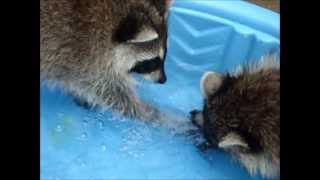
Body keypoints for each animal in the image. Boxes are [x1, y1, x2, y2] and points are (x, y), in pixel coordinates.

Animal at [41, 0, 174, 121]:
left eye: (165, 55)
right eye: (153, 62)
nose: (163, 80)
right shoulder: (87, 56)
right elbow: (116, 97)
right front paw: (157, 116)